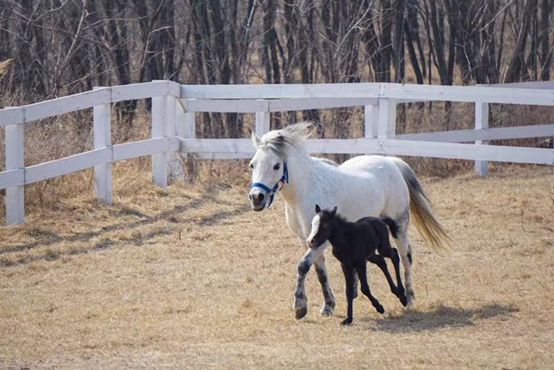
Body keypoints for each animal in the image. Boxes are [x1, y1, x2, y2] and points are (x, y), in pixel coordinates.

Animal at [248, 123, 446, 320]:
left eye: (276, 166)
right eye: (252, 165)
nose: (256, 197)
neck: (304, 191)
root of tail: (392, 162)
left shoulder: (320, 241)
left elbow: (303, 266)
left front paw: (300, 307)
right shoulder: (306, 240)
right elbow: (320, 273)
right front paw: (328, 306)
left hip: (399, 225)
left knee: (405, 257)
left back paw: (409, 297)